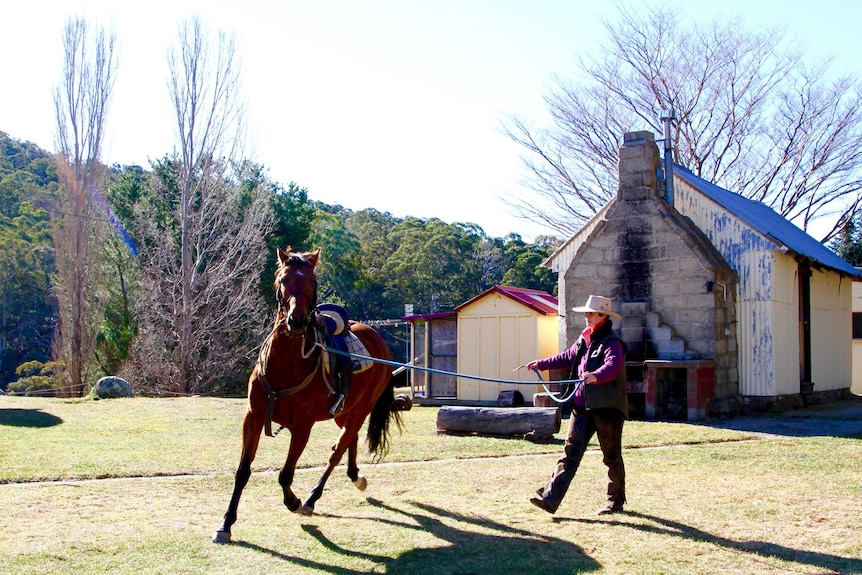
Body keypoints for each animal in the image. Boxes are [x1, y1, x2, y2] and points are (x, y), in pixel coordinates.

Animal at [216, 248, 404, 544]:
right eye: (283, 279)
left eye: (313, 283)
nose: (297, 320)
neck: (284, 365)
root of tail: (378, 338)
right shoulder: (253, 418)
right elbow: (243, 471)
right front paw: (226, 524)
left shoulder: (302, 427)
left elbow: (285, 475)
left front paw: (293, 502)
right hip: (344, 411)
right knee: (348, 441)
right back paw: (355, 476)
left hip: (361, 410)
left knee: (337, 452)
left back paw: (312, 499)